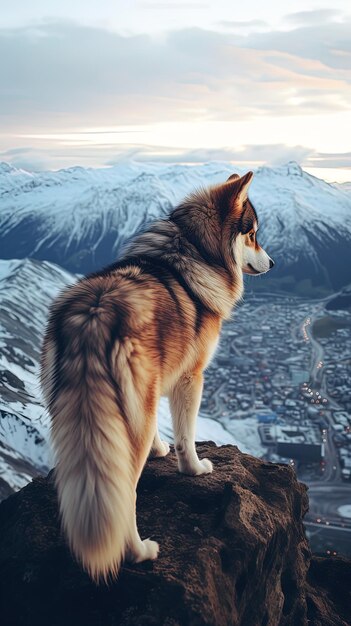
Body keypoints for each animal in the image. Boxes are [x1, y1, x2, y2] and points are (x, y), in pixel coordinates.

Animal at [40, 169, 276, 580]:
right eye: (252, 234)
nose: (274, 263)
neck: (194, 250)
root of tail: (93, 317)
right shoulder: (190, 378)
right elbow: (186, 436)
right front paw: (194, 468)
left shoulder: (150, 396)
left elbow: (157, 431)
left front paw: (159, 448)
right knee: (125, 493)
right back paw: (138, 552)